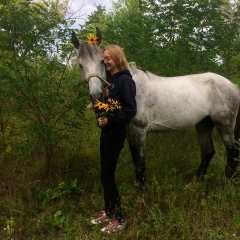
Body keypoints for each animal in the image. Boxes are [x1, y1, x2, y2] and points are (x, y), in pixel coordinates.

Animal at [71, 27, 240, 186]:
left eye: (102, 61)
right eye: (80, 65)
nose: (96, 95)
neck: (132, 86)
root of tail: (232, 85)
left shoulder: (139, 130)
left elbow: (139, 161)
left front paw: (142, 192)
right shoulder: (130, 131)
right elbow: (136, 160)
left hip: (224, 125)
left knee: (233, 151)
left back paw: (230, 181)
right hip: (204, 124)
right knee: (208, 152)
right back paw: (195, 183)